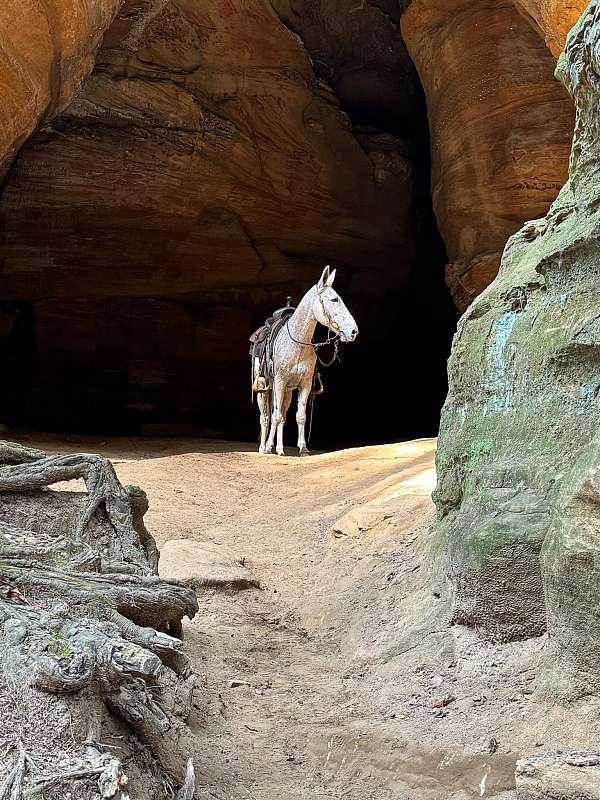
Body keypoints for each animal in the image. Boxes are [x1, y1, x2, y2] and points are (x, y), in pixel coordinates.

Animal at [253, 266, 356, 456]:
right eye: (334, 299)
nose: (353, 331)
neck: (297, 343)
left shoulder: (305, 385)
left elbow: (299, 416)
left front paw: (302, 448)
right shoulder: (279, 382)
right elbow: (275, 417)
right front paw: (274, 448)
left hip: (287, 392)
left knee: (281, 415)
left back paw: (276, 447)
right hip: (265, 389)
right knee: (265, 417)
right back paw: (264, 447)